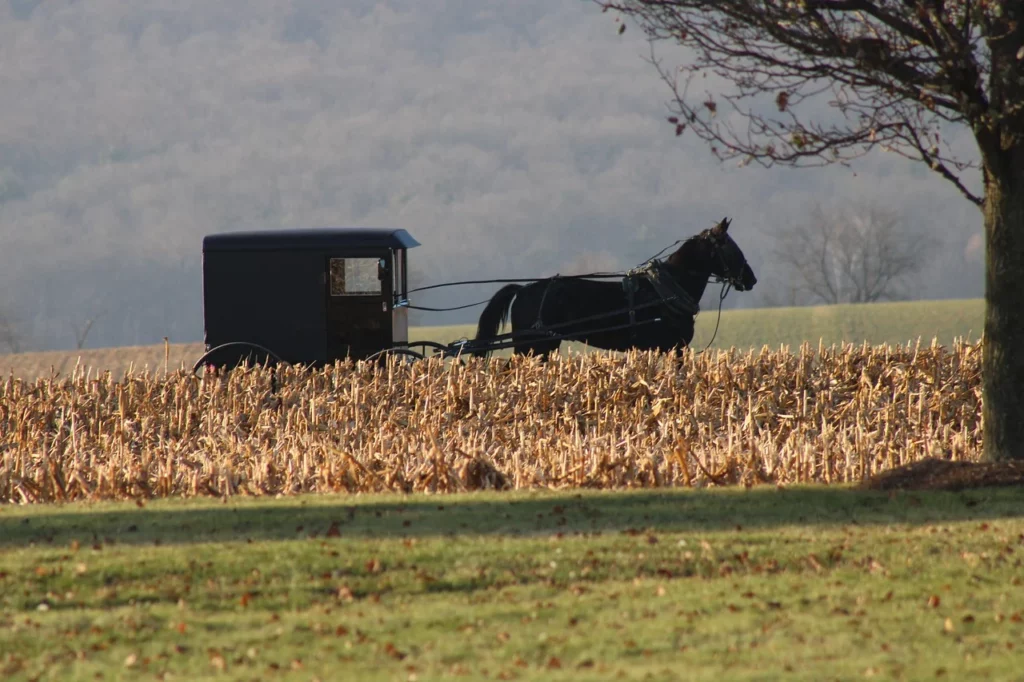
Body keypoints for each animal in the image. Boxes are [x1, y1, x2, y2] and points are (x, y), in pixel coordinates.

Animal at [472, 217, 757, 357]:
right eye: (730, 246)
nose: (751, 279)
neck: (665, 291)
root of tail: (522, 290)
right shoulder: (674, 348)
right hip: (532, 346)